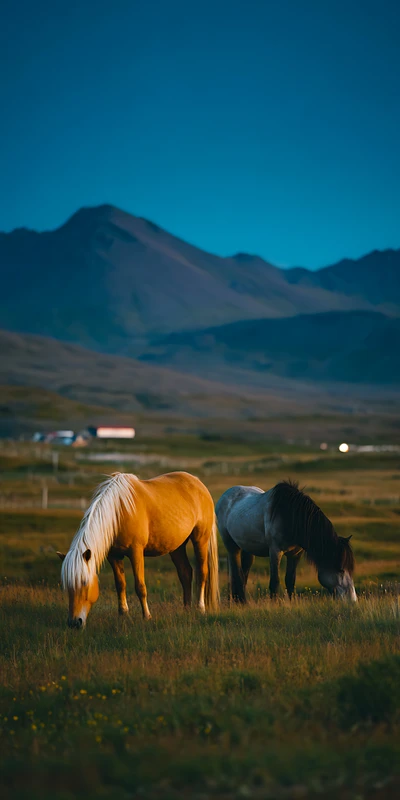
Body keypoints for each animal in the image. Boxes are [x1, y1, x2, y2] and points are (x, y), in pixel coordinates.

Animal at [57, 471, 219, 628]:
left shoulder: (136, 552)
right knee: (185, 573)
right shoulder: (114, 556)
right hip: (177, 547)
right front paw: (123, 614)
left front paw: (147, 616)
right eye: (67, 585)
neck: (118, 512)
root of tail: (199, 483)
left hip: (200, 539)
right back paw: (186, 609)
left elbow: (140, 586)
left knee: (202, 572)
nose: (74, 622)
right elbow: (120, 585)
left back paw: (200, 608)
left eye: (84, 582)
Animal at [216, 480, 356, 602]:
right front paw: (275, 604)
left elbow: (290, 580)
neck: (289, 517)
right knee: (236, 573)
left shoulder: (295, 554)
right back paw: (242, 601)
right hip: (231, 545)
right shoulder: (275, 551)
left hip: (248, 548)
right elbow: (275, 581)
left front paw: (291, 602)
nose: (353, 600)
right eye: (340, 569)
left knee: (244, 571)